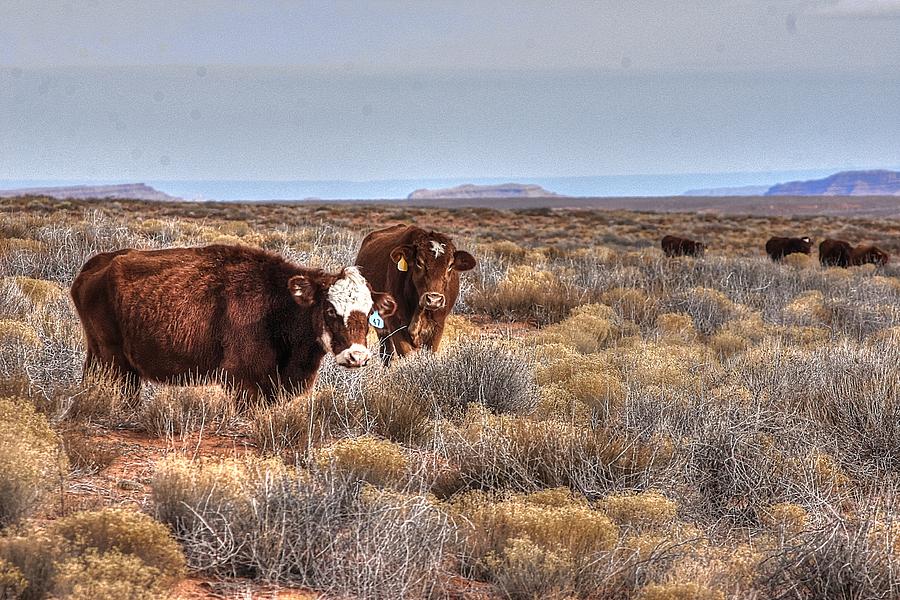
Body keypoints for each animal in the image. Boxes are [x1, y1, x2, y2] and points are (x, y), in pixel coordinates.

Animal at [75, 244, 400, 404]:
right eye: (330, 309)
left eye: (369, 312)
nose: (357, 356)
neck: (277, 303)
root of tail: (95, 264)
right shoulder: (243, 381)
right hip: (115, 362)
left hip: (102, 358)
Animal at [356, 224, 478, 360]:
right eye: (419, 262)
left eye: (450, 265)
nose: (434, 300)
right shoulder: (396, 324)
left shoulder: (438, 326)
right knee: (387, 353)